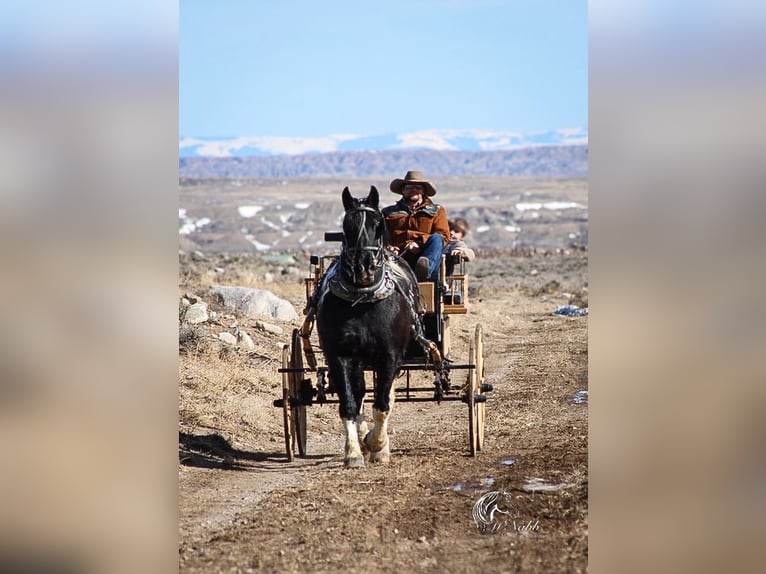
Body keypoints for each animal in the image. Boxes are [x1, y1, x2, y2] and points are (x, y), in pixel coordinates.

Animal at [318, 187, 426, 470]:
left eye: (379, 224)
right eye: (346, 226)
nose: (363, 267)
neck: (362, 300)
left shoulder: (389, 356)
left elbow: (383, 404)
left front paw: (378, 446)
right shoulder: (339, 356)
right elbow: (349, 404)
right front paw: (354, 453)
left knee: (386, 396)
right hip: (359, 361)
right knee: (359, 395)